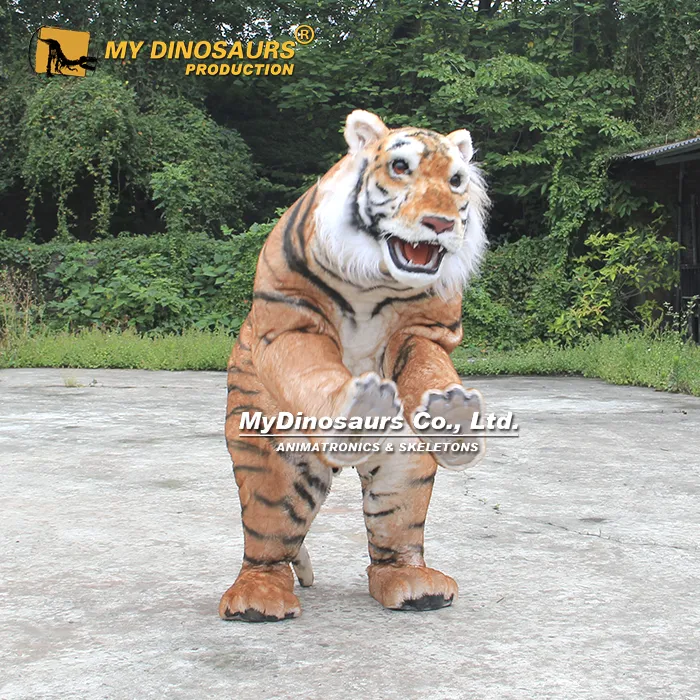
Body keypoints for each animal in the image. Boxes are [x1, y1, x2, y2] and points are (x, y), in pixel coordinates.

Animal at [220, 109, 490, 622]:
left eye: (456, 180)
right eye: (401, 167)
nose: (440, 223)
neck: (378, 280)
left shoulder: (425, 329)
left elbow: (428, 367)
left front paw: (454, 414)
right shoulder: (291, 320)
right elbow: (311, 370)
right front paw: (356, 408)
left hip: (404, 466)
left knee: (393, 538)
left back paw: (415, 586)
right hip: (274, 461)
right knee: (267, 541)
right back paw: (258, 599)